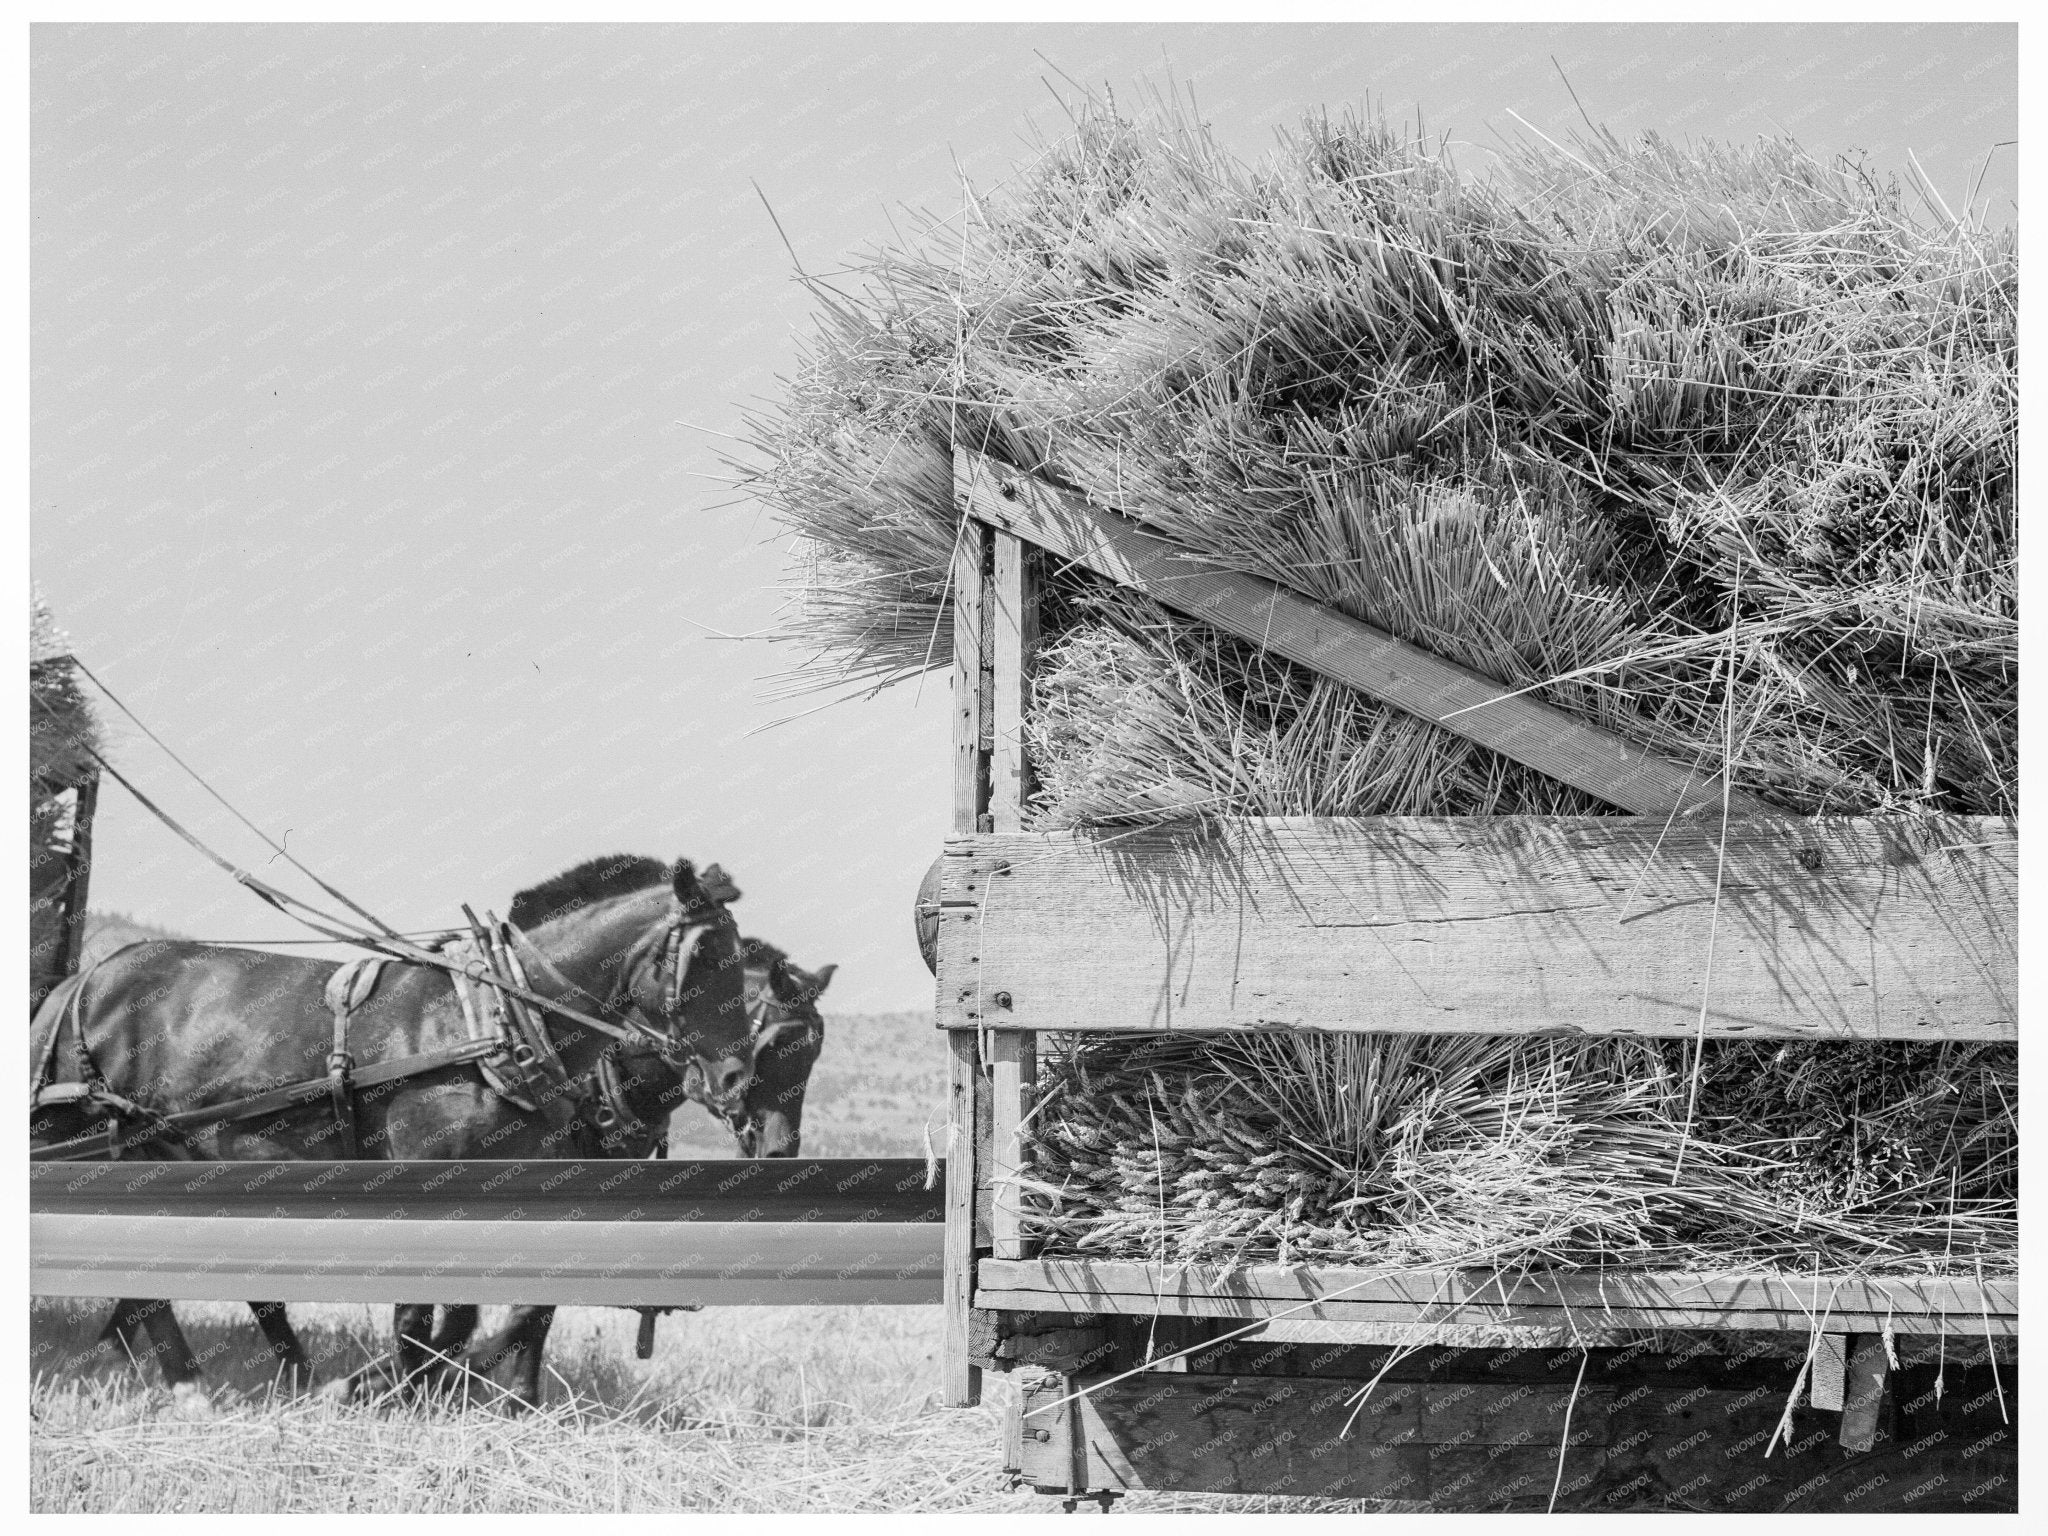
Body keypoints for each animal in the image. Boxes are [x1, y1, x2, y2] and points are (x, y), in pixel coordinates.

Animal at [32, 856, 757, 1417]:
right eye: (706, 956)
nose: (734, 1077)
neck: (492, 1020)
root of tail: (88, 977)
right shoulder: (420, 1169)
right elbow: (423, 1310)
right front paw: (393, 1391)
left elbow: (477, 1311)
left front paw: (436, 1388)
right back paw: (196, 1385)